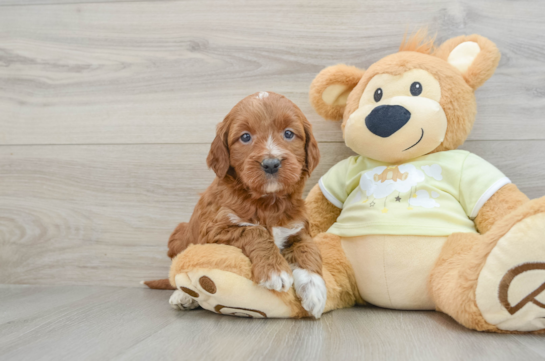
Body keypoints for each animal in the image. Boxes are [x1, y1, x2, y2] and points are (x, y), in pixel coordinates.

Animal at [166, 91, 326, 316]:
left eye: (288, 133)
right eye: (245, 137)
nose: (271, 163)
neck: (268, 203)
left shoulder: (298, 228)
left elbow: (309, 248)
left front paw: (315, 289)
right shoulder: (214, 230)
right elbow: (254, 230)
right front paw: (275, 271)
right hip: (179, 234)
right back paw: (183, 295)